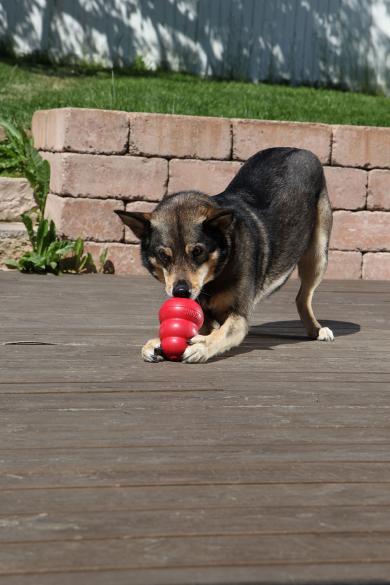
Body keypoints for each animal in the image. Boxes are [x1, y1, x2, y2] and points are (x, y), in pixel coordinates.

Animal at [114, 146, 334, 362]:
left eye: (197, 251)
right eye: (163, 256)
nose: (181, 293)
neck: (218, 272)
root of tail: (300, 149)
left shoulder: (239, 317)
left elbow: (222, 333)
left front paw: (201, 346)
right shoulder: (202, 314)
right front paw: (156, 342)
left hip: (317, 257)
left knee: (303, 297)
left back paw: (317, 329)